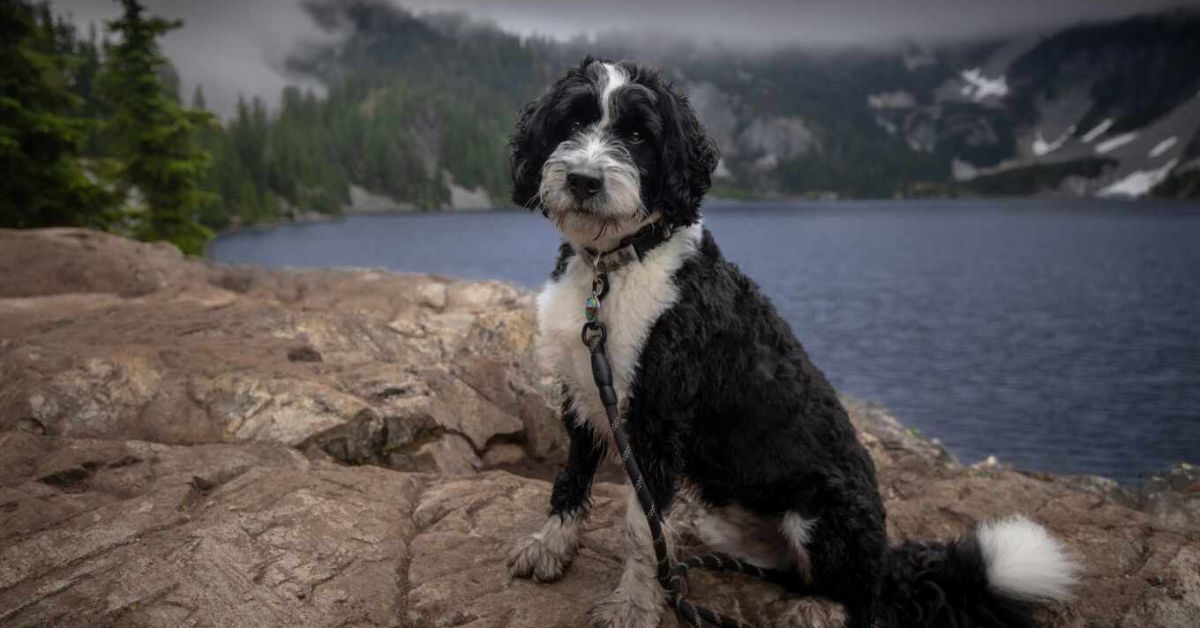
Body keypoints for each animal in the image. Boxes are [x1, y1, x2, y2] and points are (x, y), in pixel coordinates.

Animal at [504, 56, 1080, 624]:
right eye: (573, 121)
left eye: (639, 134)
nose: (583, 180)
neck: (614, 267)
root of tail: (887, 561)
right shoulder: (580, 388)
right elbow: (573, 477)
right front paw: (551, 545)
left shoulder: (656, 418)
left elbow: (642, 530)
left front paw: (633, 605)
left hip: (826, 514)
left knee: (861, 597)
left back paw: (815, 608)